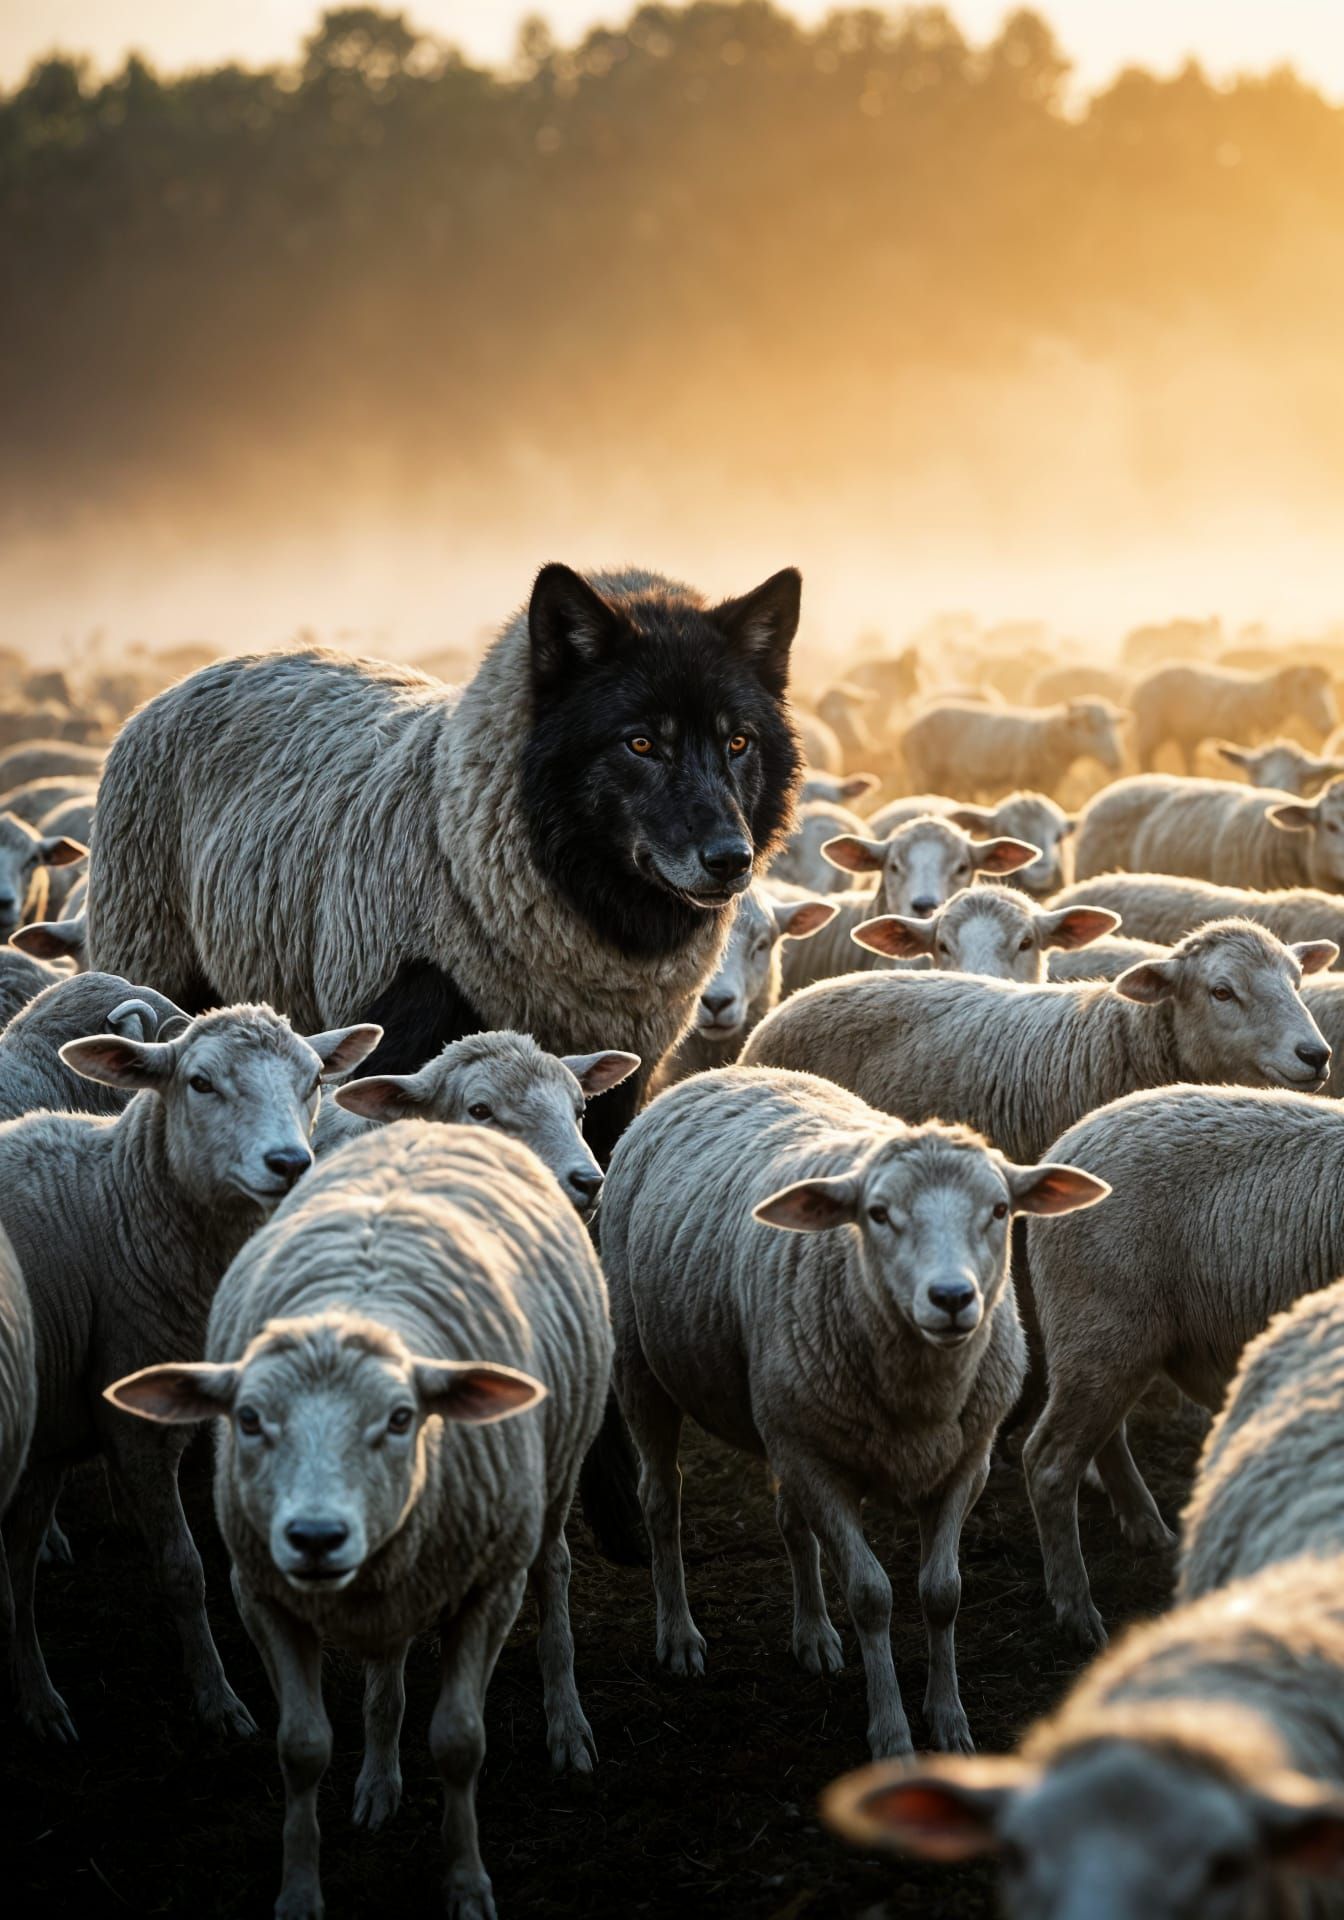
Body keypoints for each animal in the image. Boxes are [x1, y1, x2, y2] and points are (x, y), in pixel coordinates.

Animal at [0, 1003, 381, 1741]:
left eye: (314, 1081)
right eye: (200, 1083)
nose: (290, 1163)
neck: (118, 1208)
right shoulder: (133, 1424)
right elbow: (181, 1569)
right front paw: (216, 1697)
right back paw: (39, 1699)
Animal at [106, 1121, 611, 1920]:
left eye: (402, 1418)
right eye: (248, 1420)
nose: (316, 1537)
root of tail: (432, 1122)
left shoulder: (487, 1590)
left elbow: (460, 1743)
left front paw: (467, 1883)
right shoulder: (262, 1595)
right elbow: (302, 1747)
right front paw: (301, 1888)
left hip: (554, 1481)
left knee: (553, 1570)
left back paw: (566, 1720)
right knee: (388, 1665)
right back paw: (378, 1777)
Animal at [599, 1066, 1106, 1757]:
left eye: (1001, 1209)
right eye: (878, 1214)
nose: (952, 1297)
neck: (922, 1394)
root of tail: (725, 1071)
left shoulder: (964, 1464)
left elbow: (942, 1593)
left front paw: (949, 1721)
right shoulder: (819, 1465)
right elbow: (870, 1596)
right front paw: (892, 1736)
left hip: (783, 1416)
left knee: (789, 1520)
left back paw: (813, 1634)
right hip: (642, 1366)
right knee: (661, 1498)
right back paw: (678, 1636)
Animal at [898, 699, 1125, 803]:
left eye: (1113, 727)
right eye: (1090, 727)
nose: (1116, 761)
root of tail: (908, 728)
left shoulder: (1047, 786)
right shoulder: (1022, 781)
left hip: (945, 781)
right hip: (923, 775)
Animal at [1131, 662, 1337, 772]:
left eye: (1325, 688)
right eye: (1303, 687)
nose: (1329, 726)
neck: (1262, 698)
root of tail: (1138, 686)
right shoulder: (1244, 739)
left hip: (1184, 735)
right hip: (1151, 726)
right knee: (1144, 756)